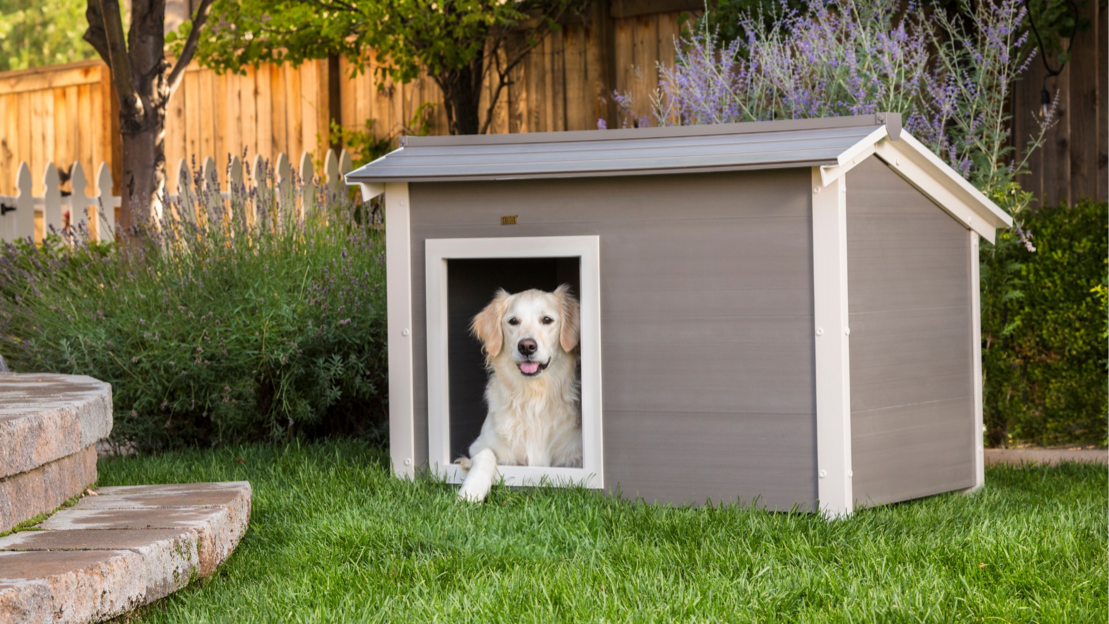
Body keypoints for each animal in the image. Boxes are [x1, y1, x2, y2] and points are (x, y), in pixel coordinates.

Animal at [456, 283, 581, 503]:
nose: (527, 346)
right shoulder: (479, 444)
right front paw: (471, 491)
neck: (532, 396)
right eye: (513, 321)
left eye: (547, 320)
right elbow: (486, 454)